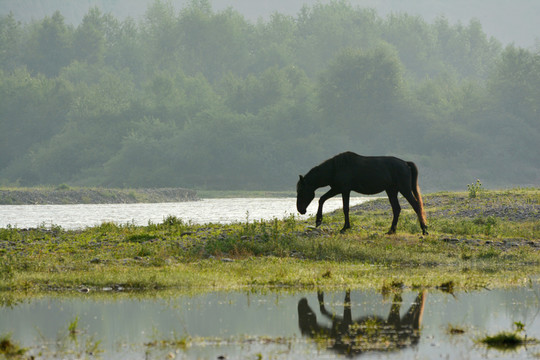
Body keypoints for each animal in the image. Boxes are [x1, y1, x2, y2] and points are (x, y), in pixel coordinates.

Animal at [298, 151, 428, 233]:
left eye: (301, 190)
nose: (300, 210)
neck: (334, 169)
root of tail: (405, 163)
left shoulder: (344, 190)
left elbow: (345, 208)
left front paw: (345, 227)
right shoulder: (337, 189)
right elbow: (322, 199)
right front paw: (318, 220)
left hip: (404, 189)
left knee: (416, 205)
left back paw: (424, 230)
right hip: (391, 191)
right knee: (397, 209)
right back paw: (391, 230)